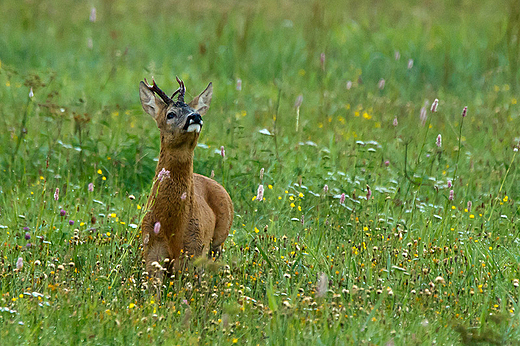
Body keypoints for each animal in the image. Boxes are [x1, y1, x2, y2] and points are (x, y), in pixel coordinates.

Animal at [140, 77, 234, 278]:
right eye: (170, 114)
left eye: (193, 109)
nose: (196, 117)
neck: (171, 225)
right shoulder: (151, 249)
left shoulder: (193, 249)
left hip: (219, 238)